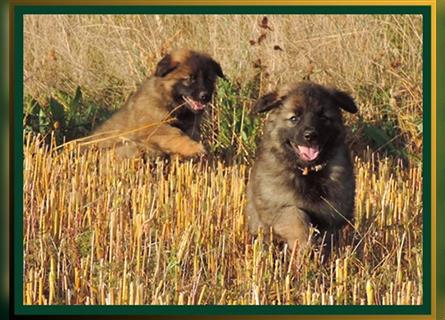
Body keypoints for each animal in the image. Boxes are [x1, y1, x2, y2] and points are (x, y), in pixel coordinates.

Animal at [86, 49, 224, 158]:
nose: (205, 96)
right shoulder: (151, 127)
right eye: (190, 78)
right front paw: (195, 148)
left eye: (208, 79)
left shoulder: (190, 127)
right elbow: (175, 133)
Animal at [246, 82, 358, 252]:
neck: (308, 172)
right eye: (294, 118)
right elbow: (295, 217)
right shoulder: (277, 207)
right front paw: (305, 245)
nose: (310, 135)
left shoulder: (333, 212)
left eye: (323, 117)